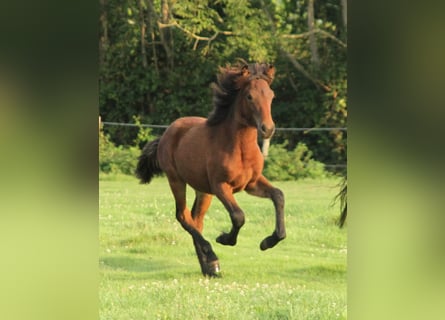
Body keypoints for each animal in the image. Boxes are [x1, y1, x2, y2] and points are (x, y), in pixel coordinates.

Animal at [135, 63, 286, 278]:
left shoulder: (252, 183)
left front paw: (267, 242)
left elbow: (278, 196)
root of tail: (167, 132)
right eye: (250, 96)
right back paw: (212, 257)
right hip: (176, 180)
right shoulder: (220, 186)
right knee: (183, 216)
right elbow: (238, 216)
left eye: (271, 96)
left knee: (196, 220)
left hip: (203, 190)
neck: (240, 149)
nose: (268, 129)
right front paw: (224, 239)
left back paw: (209, 268)